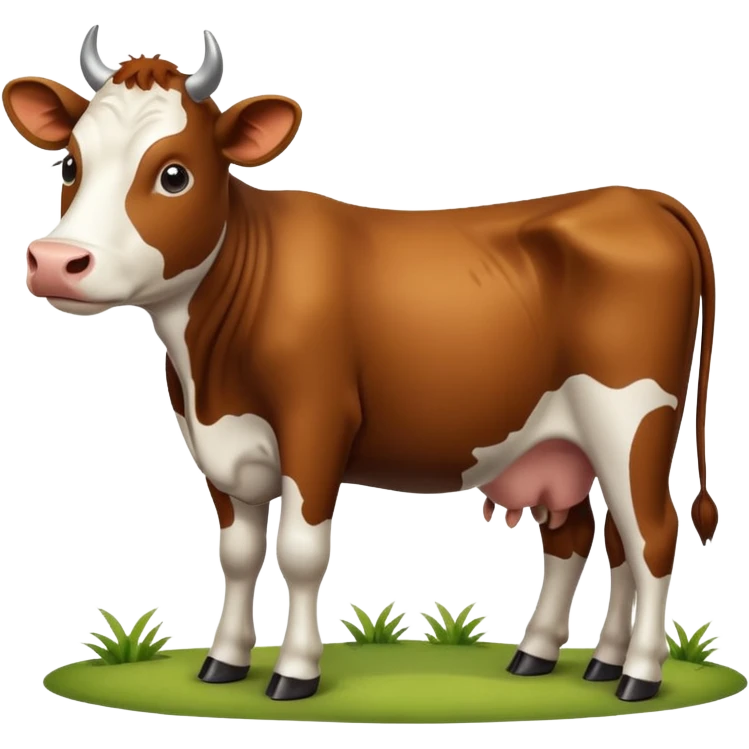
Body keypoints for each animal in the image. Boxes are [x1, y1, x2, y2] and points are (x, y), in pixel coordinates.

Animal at [6, 25, 718, 705]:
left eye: (174, 174)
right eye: (68, 163)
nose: (56, 261)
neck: (207, 370)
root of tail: (642, 200)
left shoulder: (317, 424)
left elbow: (298, 552)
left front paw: (293, 673)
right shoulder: (217, 443)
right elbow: (237, 555)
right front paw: (223, 663)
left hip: (630, 420)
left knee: (651, 537)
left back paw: (638, 675)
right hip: (565, 443)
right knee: (591, 538)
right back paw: (563, 658)